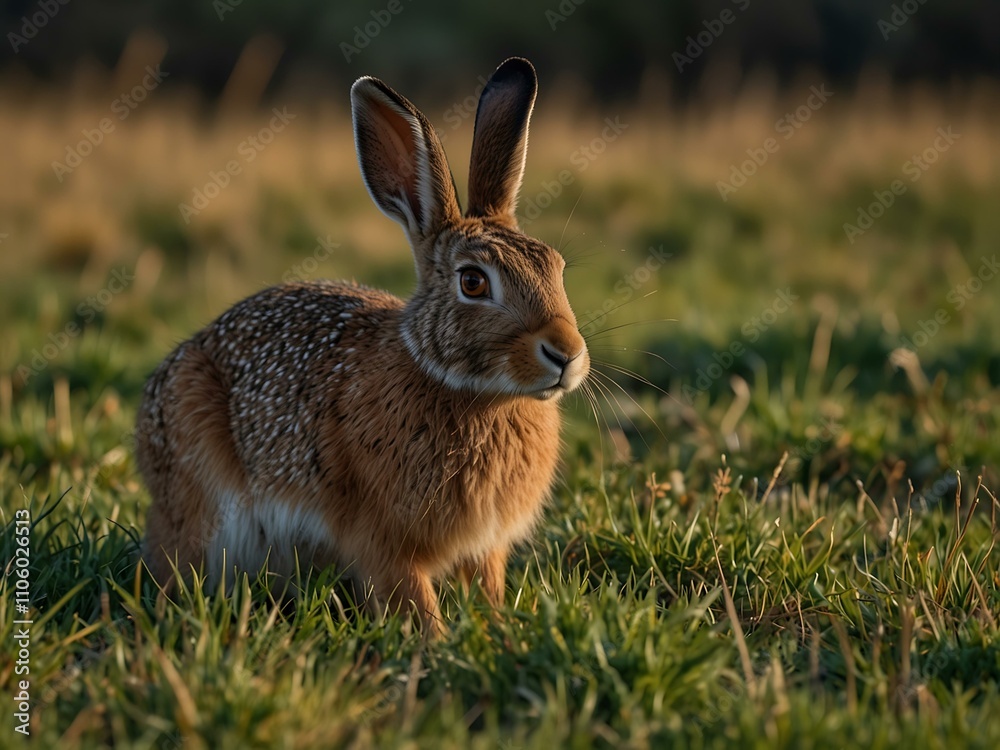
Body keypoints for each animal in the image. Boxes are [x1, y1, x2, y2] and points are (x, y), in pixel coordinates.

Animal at [136, 57, 589, 632]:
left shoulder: (484, 547)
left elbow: (487, 587)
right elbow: (412, 599)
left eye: (556, 267)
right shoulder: (381, 541)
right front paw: (437, 642)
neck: (472, 392)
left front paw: (497, 630)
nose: (566, 354)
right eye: (473, 282)